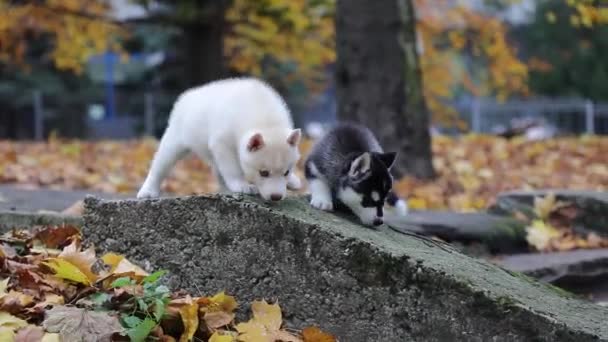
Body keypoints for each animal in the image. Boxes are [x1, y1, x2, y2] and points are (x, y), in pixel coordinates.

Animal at [136, 77, 302, 200]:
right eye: (264, 173)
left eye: (286, 172)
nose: (276, 197)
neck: (266, 121)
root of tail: (187, 96)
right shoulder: (222, 143)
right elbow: (232, 167)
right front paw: (241, 185)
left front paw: (292, 180)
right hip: (176, 137)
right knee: (161, 163)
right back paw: (148, 190)